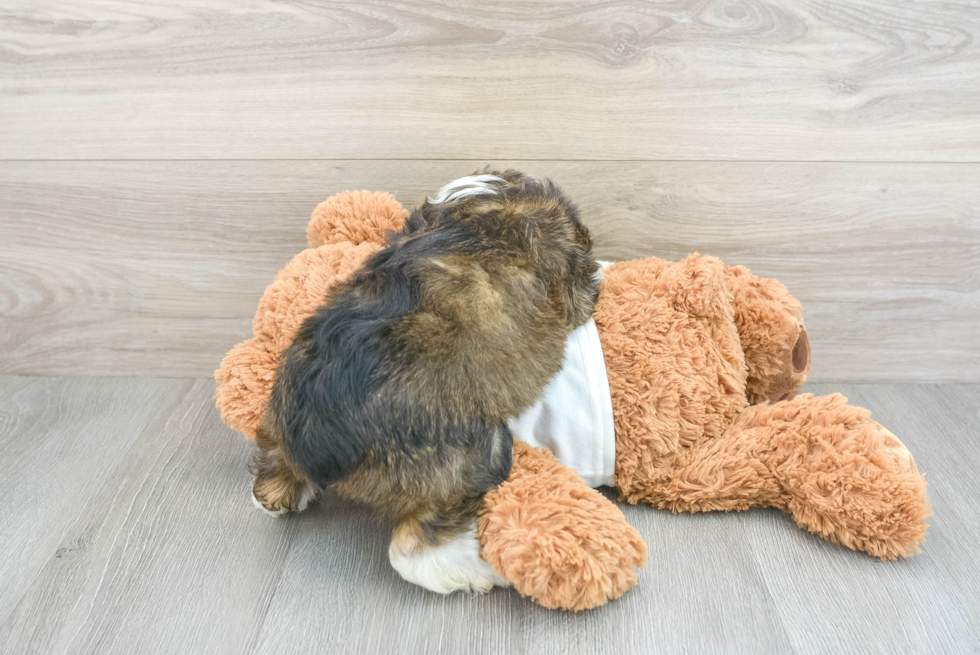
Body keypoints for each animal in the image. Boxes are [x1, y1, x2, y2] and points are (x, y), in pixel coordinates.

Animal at [251, 170, 596, 596]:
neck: (484, 205)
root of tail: (317, 445)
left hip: (277, 412)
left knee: (269, 472)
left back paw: (277, 493)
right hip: (475, 456)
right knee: (413, 550)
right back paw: (478, 573)